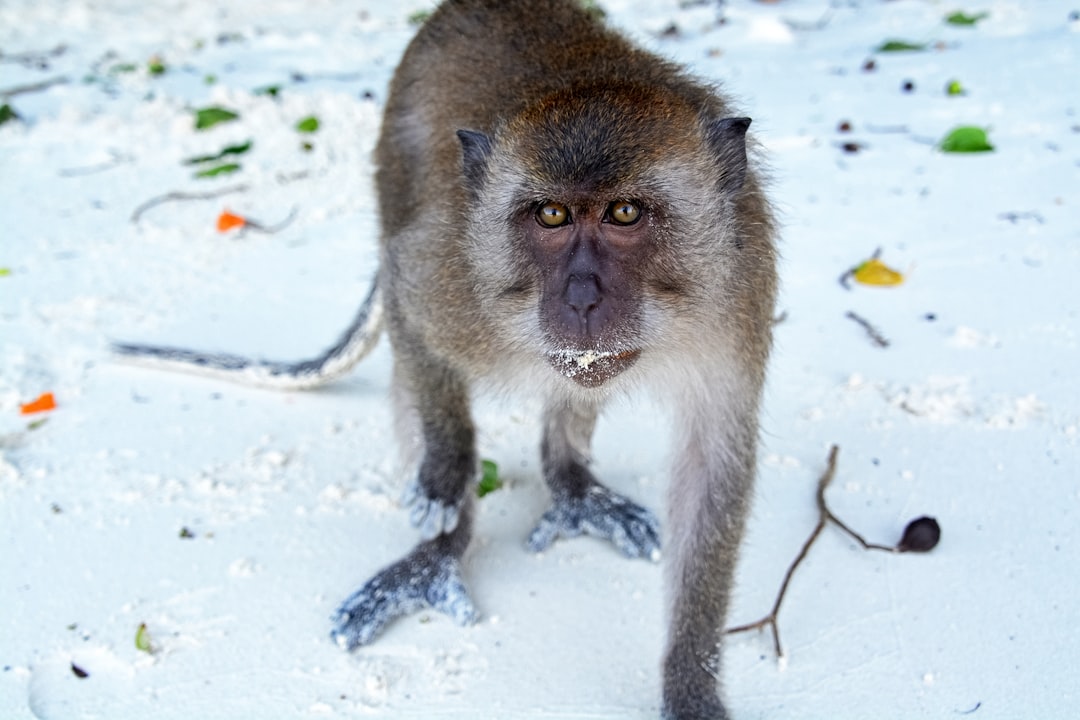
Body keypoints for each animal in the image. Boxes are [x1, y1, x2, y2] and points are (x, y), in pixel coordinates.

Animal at [116, 1, 777, 716]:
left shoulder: (738, 295)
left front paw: (689, 681)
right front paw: (447, 474)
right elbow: (409, 299)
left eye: (625, 212)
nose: (580, 299)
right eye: (551, 215)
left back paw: (569, 484)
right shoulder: (457, 276)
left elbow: (713, 469)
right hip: (392, 172)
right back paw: (437, 553)